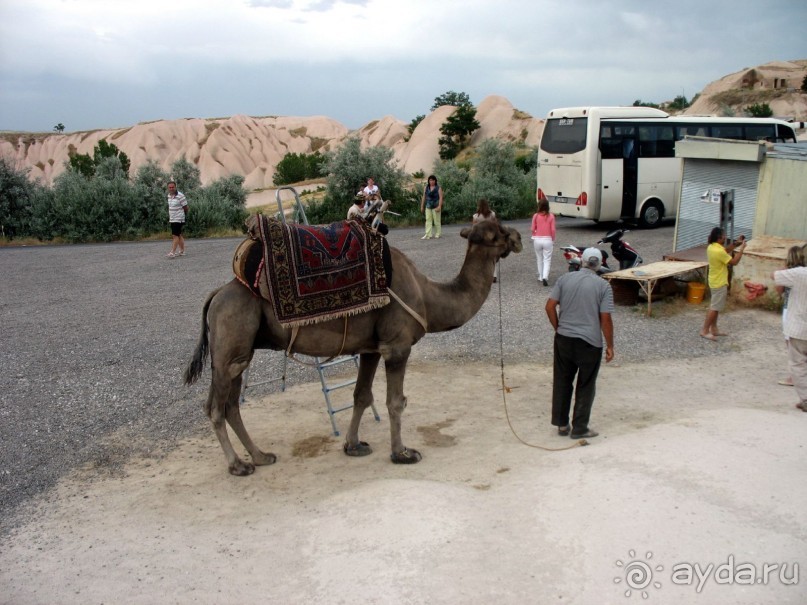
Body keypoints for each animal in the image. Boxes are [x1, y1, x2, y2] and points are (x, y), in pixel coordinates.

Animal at [183, 218, 524, 476]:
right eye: (496, 232)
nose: (519, 237)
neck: (427, 296)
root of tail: (217, 294)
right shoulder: (397, 346)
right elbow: (395, 402)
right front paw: (402, 453)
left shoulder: (371, 348)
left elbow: (361, 396)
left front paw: (354, 445)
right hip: (230, 343)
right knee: (215, 407)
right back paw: (238, 465)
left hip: (239, 352)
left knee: (231, 405)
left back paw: (261, 456)